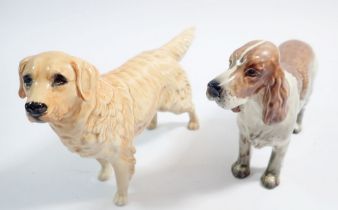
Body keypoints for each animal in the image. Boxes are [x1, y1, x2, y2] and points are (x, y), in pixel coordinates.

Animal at [18, 27, 199, 205]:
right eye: (27, 79)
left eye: (59, 79)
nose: (34, 106)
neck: (88, 111)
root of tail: (161, 51)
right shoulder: (94, 148)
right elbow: (103, 162)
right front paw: (104, 175)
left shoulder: (123, 156)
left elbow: (122, 180)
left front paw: (121, 198)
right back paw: (152, 124)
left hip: (176, 103)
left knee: (191, 107)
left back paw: (194, 124)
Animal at [206, 39, 316, 189]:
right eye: (230, 62)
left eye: (252, 72)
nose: (212, 86)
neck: (255, 106)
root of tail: (300, 41)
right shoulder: (243, 134)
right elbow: (244, 152)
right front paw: (241, 168)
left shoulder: (282, 144)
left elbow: (275, 161)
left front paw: (270, 177)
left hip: (309, 92)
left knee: (303, 109)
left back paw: (297, 126)